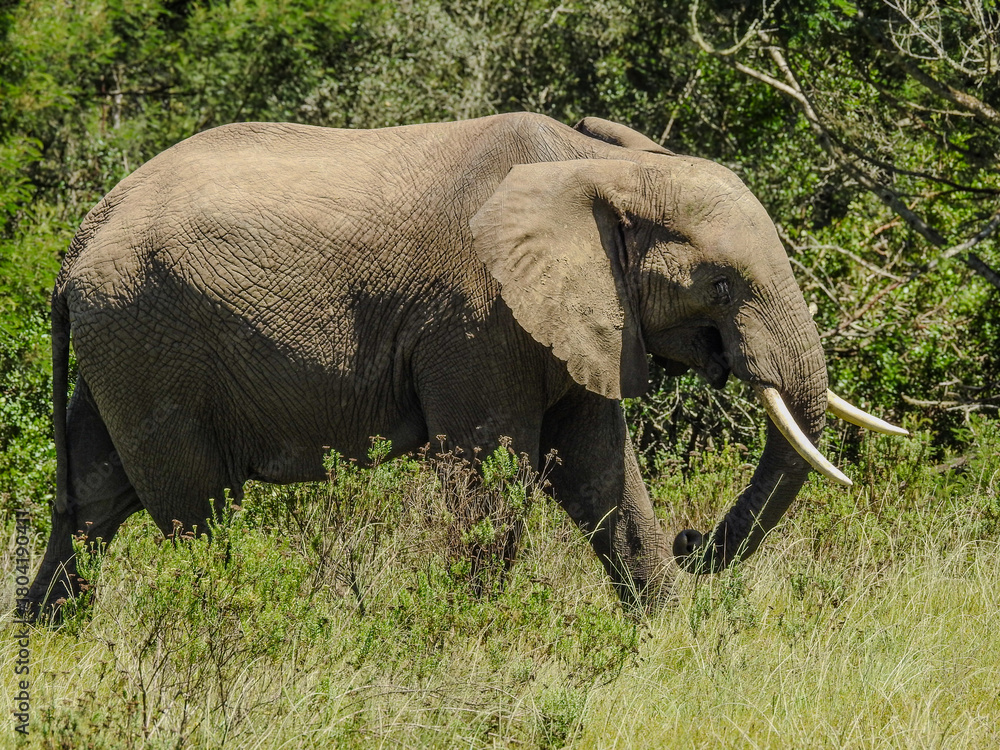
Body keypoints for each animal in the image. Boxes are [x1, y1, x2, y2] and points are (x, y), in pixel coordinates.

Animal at [25, 112, 905, 615]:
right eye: (723, 284)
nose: (698, 540)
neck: (593, 166)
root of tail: (75, 242)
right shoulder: (478, 317)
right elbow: (497, 476)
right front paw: (472, 635)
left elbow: (599, 471)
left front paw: (668, 637)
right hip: (151, 344)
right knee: (193, 509)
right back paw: (226, 620)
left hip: (121, 348)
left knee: (95, 496)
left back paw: (47, 631)